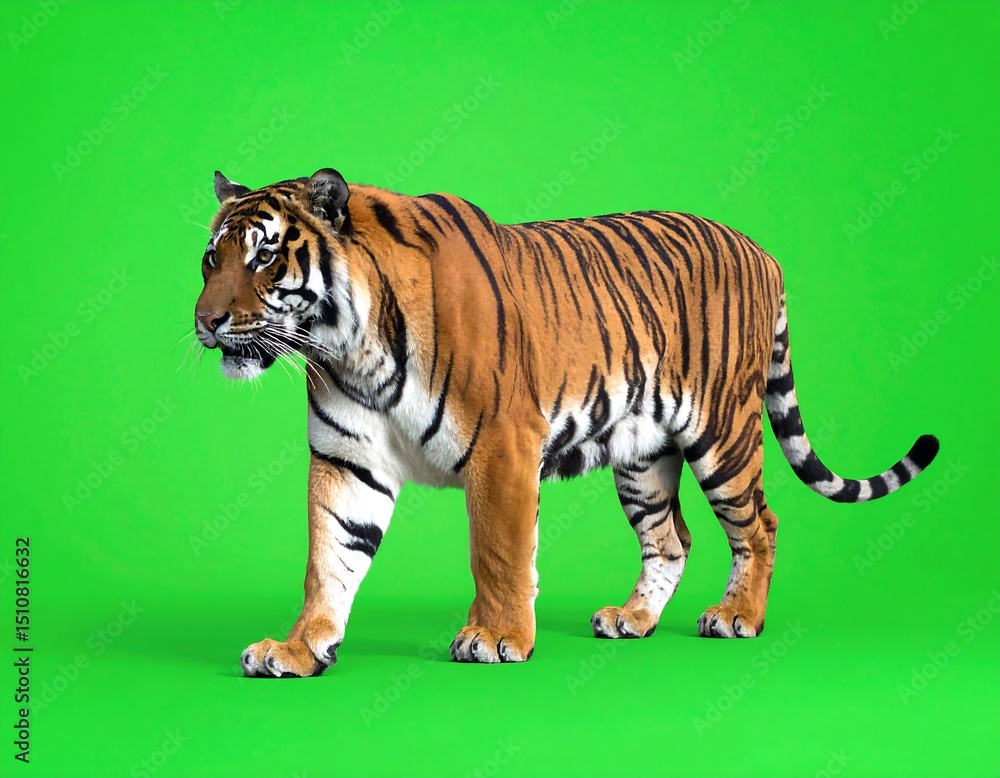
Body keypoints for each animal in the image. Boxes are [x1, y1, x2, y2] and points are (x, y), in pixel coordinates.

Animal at [193, 168, 939, 678]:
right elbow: (329, 559)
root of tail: (763, 252)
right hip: (643, 456)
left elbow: (497, 550)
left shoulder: (501, 447)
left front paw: (495, 638)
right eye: (211, 259)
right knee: (671, 538)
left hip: (723, 434)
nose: (206, 321)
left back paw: (737, 617)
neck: (348, 348)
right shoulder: (348, 460)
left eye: (264, 256)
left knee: (760, 524)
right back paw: (633, 619)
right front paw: (298, 648)